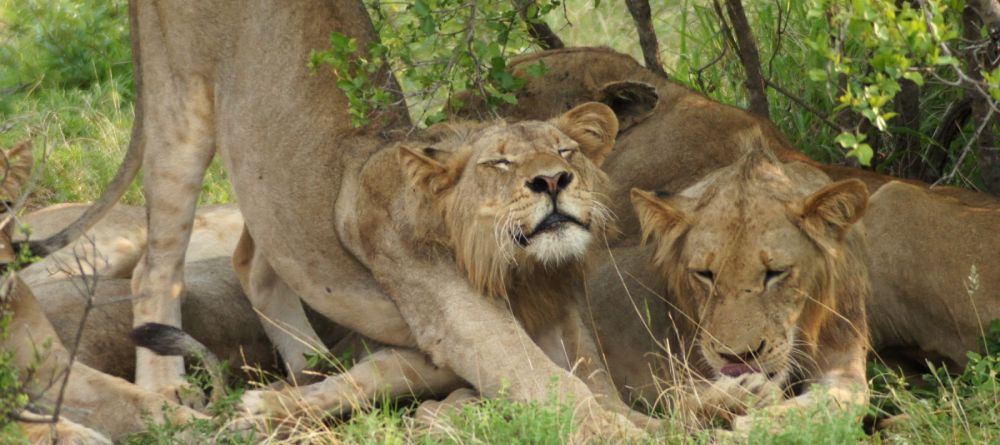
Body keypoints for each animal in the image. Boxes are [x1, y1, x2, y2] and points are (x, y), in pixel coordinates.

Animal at [628, 129, 872, 426]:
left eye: (776, 273)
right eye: (705, 274)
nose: (738, 358)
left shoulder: (844, 350)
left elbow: (844, 399)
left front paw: (755, 423)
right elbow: (682, 398)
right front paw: (738, 398)